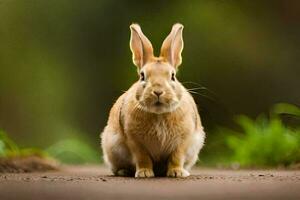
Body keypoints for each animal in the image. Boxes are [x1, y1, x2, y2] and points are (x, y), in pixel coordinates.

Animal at [101, 23, 204, 178]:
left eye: (173, 76)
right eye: (142, 76)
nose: (158, 91)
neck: (159, 114)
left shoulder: (182, 141)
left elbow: (176, 157)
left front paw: (177, 173)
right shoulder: (135, 142)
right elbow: (142, 158)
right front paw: (144, 173)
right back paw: (124, 171)